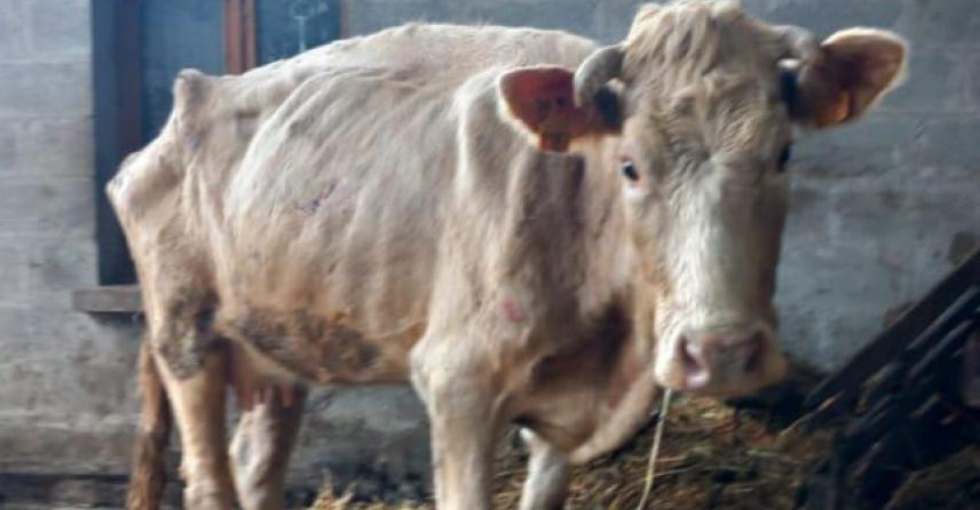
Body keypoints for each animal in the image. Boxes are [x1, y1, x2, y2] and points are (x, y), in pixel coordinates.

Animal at [109, 1, 907, 509]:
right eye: (631, 166)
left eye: (783, 154)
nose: (722, 353)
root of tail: (191, 98)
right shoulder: (458, 382)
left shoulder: (561, 416)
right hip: (186, 335)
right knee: (209, 478)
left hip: (277, 346)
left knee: (258, 466)